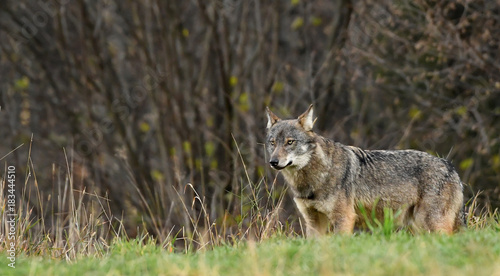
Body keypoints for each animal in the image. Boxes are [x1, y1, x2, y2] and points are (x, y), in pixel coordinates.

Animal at [266, 104, 464, 236]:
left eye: (290, 142)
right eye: (273, 143)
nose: (273, 162)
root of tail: (451, 167)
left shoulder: (344, 217)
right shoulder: (313, 221)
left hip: (433, 225)